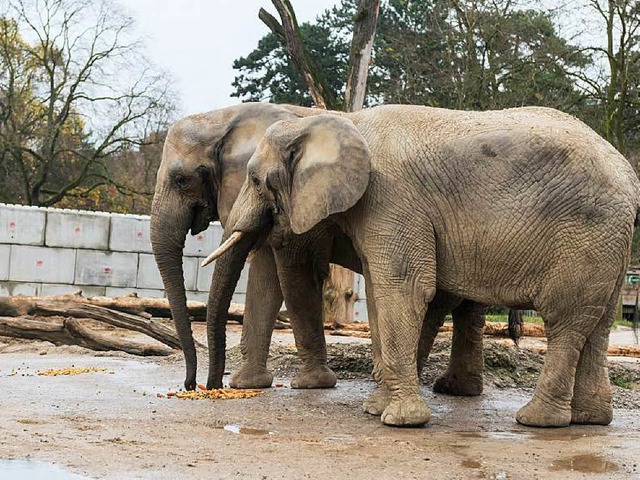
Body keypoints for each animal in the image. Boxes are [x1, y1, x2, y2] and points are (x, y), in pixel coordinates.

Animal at [151, 102, 490, 398]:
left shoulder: (306, 206)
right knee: (469, 307)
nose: (198, 385)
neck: (226, 117)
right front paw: (248, 384)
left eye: (181, 180)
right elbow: (266, 275)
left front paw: (310, 384)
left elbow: (295, 271)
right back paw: (456, 389)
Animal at [206, 104, 640, 428]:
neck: (339, 120)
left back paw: (537, 420)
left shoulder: (391, 198)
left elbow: (404, 287)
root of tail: (628, 174)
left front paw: (398, 421)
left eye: (256, 180)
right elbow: (379, 293)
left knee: (565, 321)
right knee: (597, 323)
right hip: (609, 245)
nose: (210, 388)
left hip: (586, 237)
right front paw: (375, 409)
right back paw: (589, 419)